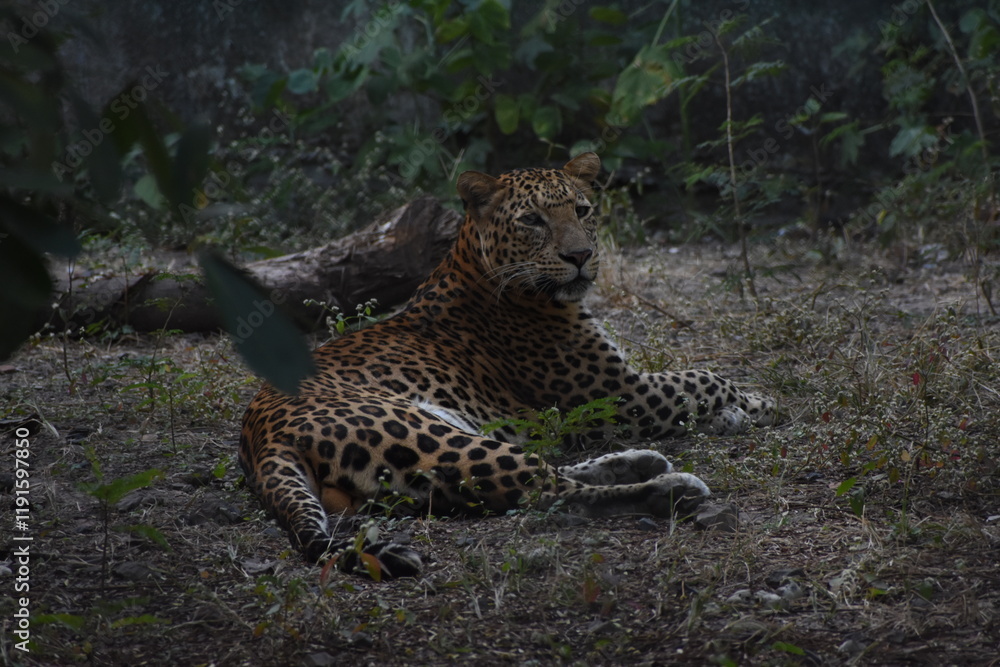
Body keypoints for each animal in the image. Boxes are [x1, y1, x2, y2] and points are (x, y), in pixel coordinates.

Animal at [239, 152, 776, 578]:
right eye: (533, 220)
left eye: (582, 210)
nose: (580, 255)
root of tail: (257, 438)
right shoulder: (620, 393)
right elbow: (704, 376)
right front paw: (759, 403)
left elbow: (699, 378)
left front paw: (740, 410)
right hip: (425, 435)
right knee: (548, 489)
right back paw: (671, 488)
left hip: (445, 434)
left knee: (541, 469)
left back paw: (638, 461)